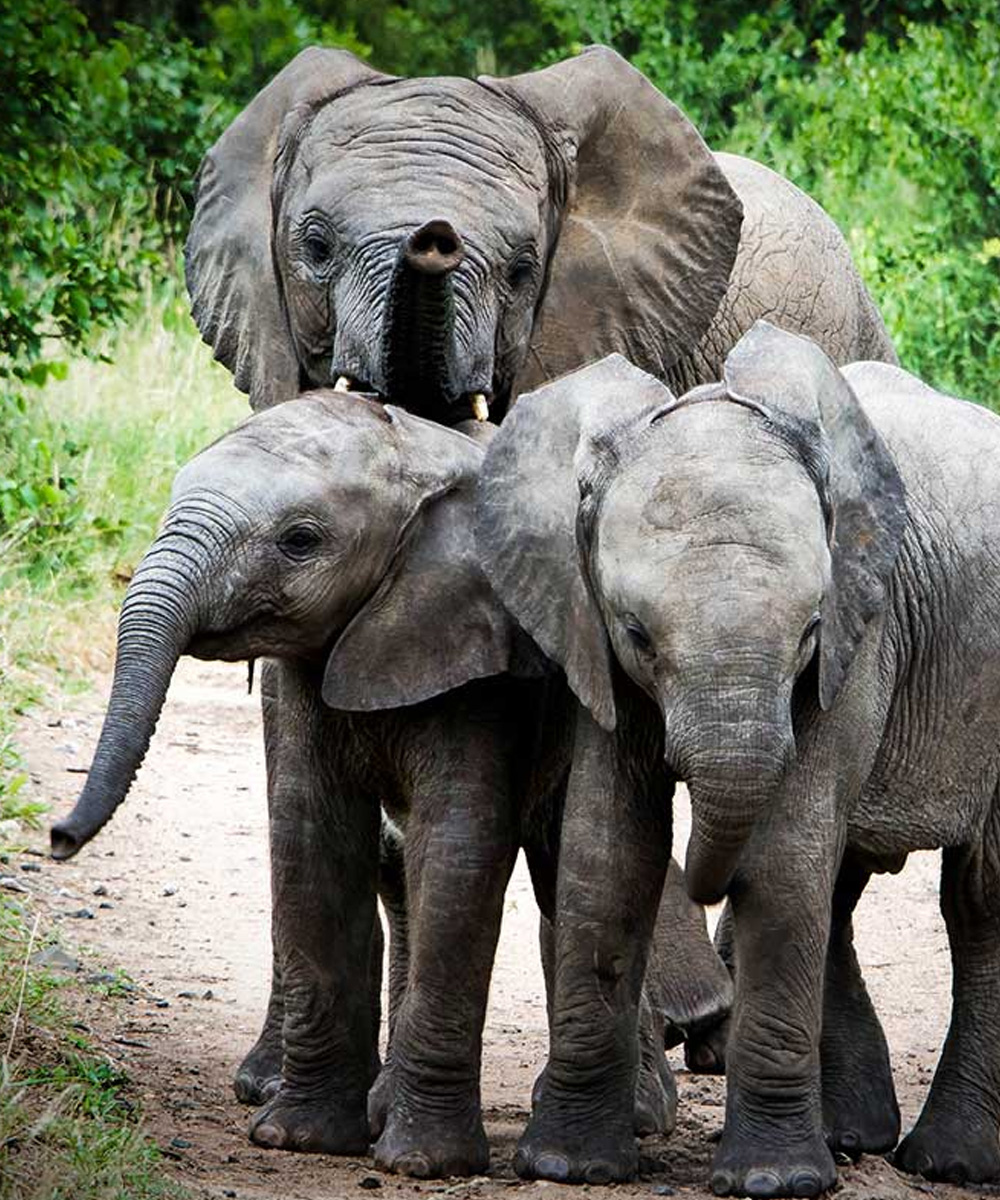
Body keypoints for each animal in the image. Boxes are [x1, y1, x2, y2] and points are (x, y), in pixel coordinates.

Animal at [50, 391, 733, 1177]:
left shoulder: (484, 660)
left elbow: (459, 847)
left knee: (569, 870)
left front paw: (420, 1163)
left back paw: (633, 1121)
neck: (416, 462)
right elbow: (311, 837)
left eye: (300, 541)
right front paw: (302, 1140)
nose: (59, 839)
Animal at [476, 321, 1000, 1195]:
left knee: (979, 896)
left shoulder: (860, 636)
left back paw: (949, 1162)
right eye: (636, 631)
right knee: (844, 886)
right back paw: (853, 1138)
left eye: (811, 629)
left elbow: (782, 865)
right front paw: (566, 1166)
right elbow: (608, 850)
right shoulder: (590, 640)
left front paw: (774, 1182)